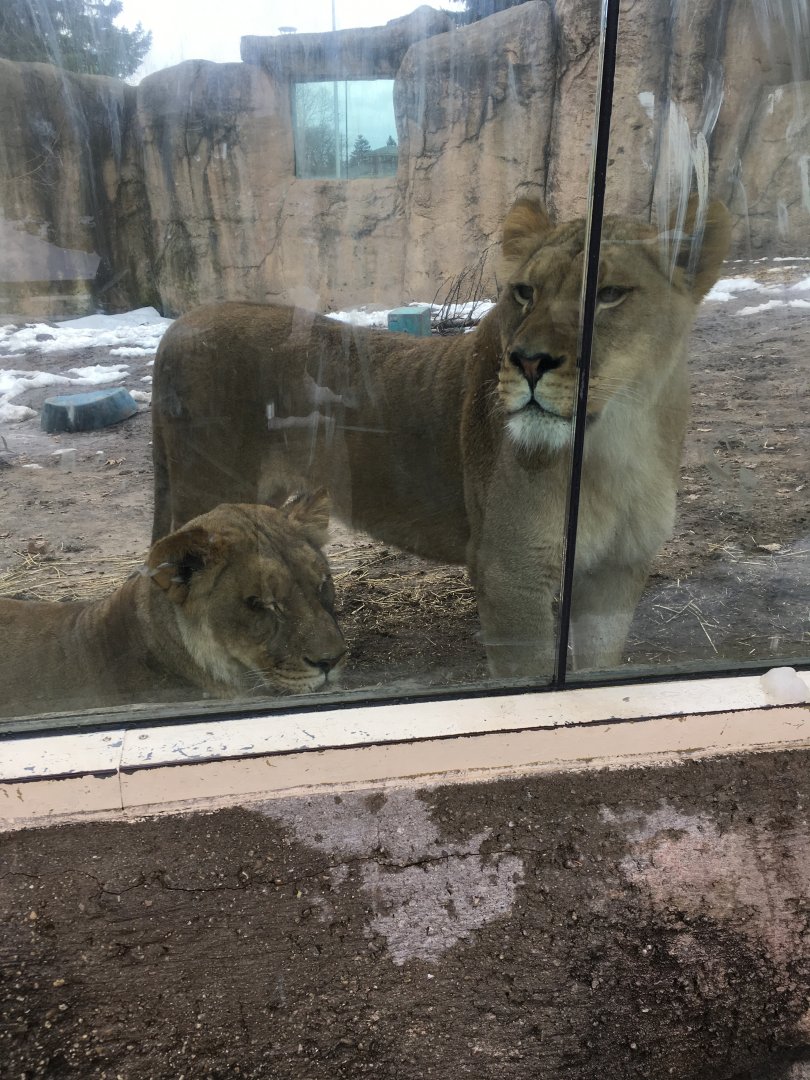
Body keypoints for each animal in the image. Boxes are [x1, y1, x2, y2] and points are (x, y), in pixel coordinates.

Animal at [151, 196, 730, 677]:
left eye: (608, 295)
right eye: (525, 292)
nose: (527, 361)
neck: (615, 442)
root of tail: (178, 327)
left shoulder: (619, 568)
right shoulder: (509, 573)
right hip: (206, 495)